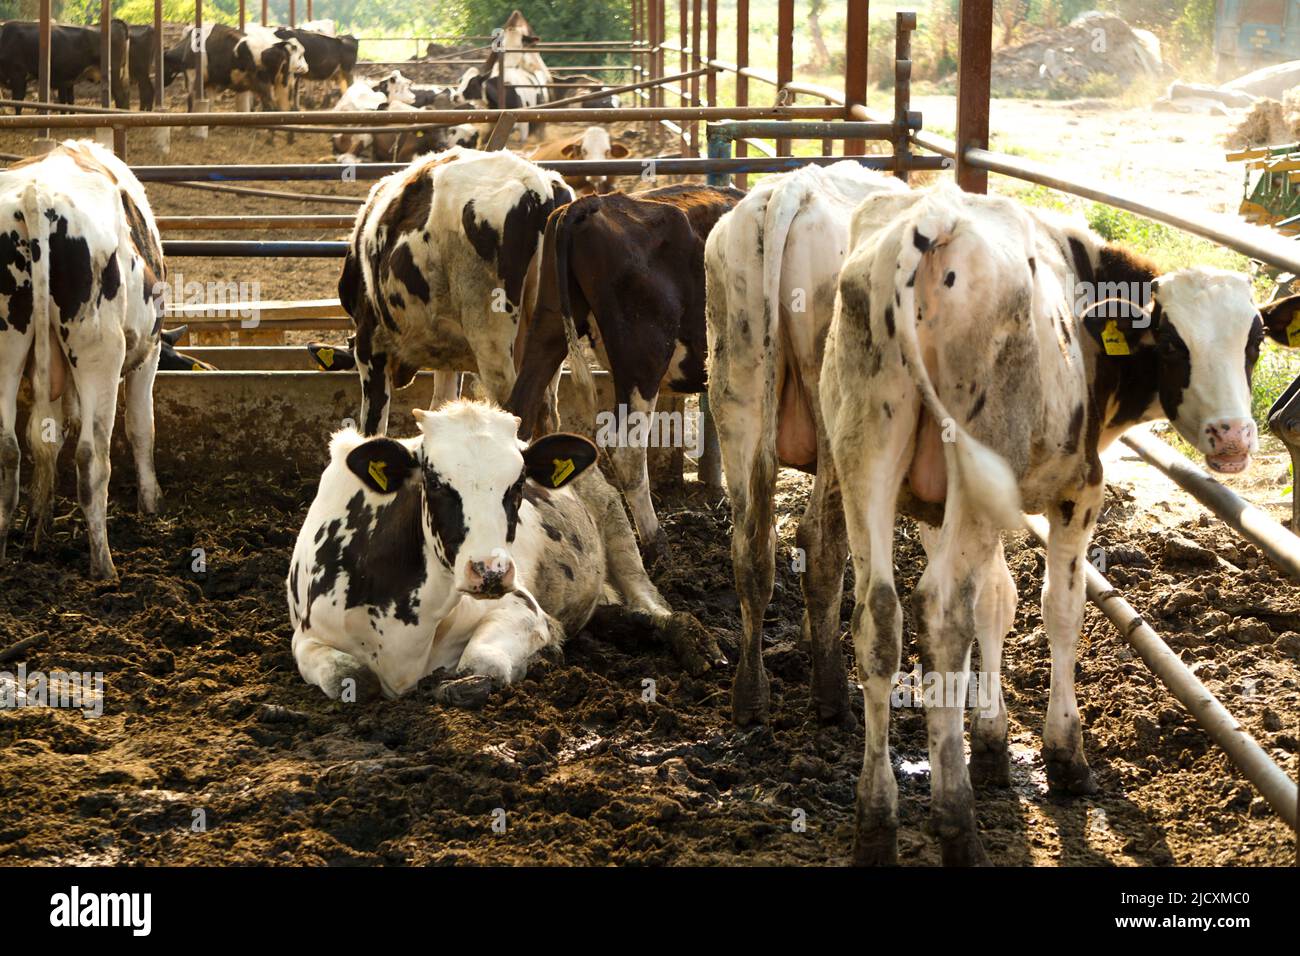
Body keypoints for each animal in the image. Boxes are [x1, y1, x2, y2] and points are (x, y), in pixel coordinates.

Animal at [0, 138, 167, 580]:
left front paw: (39, 523)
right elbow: (141, 428)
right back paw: (104, 565)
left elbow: (50, 437)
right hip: (100, 354)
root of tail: (36, 195)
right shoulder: (149, 355)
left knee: (9, 449)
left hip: (7, 348)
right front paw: (151, 502)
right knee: (92, 458)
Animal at [288, 400, 728, 697]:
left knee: (653, 604)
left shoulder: (521, 607)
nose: (490, 572)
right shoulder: (306, 637)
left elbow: (478, 667)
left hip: (619, 532)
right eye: (434, 482)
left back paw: (698, 644)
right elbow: (353, 678)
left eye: (517, 485)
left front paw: (544, 652)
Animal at [340, 147, 574, 439]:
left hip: (492, 343)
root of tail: (539, 189)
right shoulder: (448, 359)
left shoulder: (369, 344)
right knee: (546, 413)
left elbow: (373, 425)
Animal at [506, 183, 743, 564]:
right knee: (626, 449)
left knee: (519, 413)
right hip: (642, 352)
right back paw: (655, 542)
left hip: (548, 325)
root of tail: (591, 205)